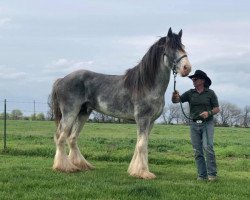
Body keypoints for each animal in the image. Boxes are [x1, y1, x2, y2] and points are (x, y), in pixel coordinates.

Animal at [50, 27, 191, 179]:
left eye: (183, 47)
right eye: (171, 48)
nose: (187, 68)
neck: (146, 85)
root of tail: (61, 80)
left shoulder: (151, 121)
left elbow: (141, 144)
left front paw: (134, 170)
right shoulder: (143, 119)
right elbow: (142, 145)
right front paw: (143, 173)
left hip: (83, 113)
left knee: (72, 138)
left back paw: (81, 165)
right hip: (70, 113)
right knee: (60, 137)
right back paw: (64, 167)